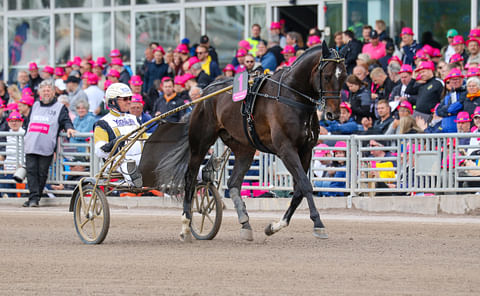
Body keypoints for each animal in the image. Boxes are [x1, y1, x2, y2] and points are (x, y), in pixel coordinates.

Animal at [154, 41, 344, 240]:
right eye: (328, 76)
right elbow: (306, 186)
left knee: (233, 183)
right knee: (190, 178)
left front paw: (275, 226)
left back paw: (245, 223)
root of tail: (204, 94)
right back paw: (186, 224)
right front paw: (318, 223)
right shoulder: (286, 149)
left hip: (244, 148)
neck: (291, 97)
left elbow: (299, 189)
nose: (333, 114)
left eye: (344, 76)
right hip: (200, 143)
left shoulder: (306, 150)